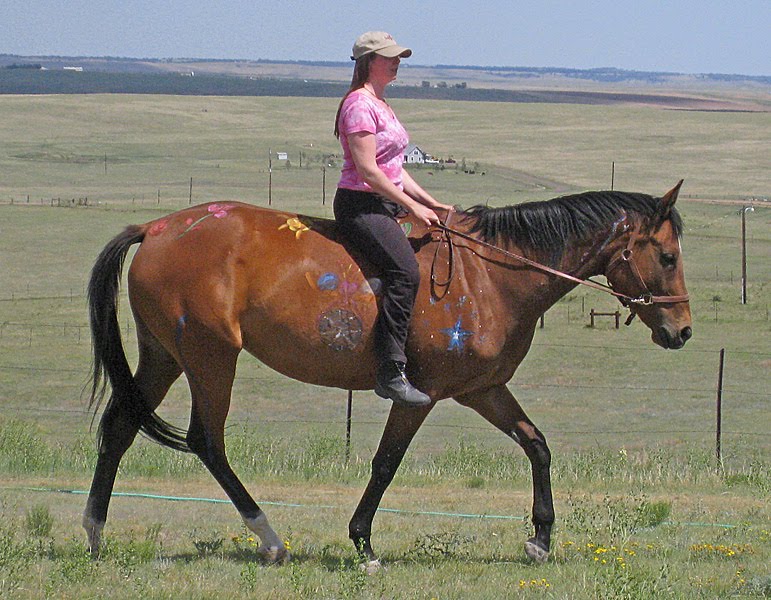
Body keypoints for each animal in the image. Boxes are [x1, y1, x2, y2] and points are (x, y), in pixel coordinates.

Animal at [84, 181, 691, 569]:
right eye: (666, 257)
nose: (682, 331)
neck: (491, 275)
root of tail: (157, 228)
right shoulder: (420, 395)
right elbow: (386, 463)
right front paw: (363, 545)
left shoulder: (483, 390)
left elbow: (537, 445)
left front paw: (540, 539)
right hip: (211, 357)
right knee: (206, 440)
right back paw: (269, 540)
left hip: (164, 356)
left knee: (119, 428)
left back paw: (94, 534)